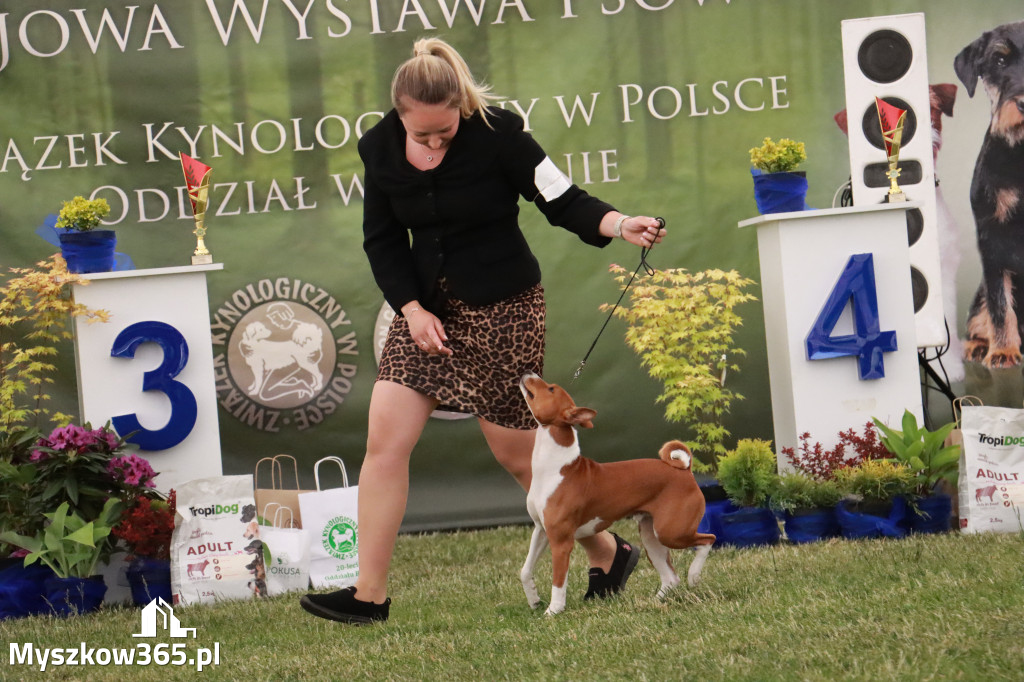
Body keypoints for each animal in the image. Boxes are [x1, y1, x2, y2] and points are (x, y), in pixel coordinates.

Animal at [520, 374, 712, 614]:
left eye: (551, 389)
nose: (529, 373)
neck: (554, 468)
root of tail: (684, 471)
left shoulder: (561, 541)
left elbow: (558, 581)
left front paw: (554, 611)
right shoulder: (541, 530)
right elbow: (525, 571)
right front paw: (533, 600)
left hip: (672, 532)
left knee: (708, 540)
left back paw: (693, 575)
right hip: (651, 535)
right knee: (670, 577)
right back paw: (653, 602)